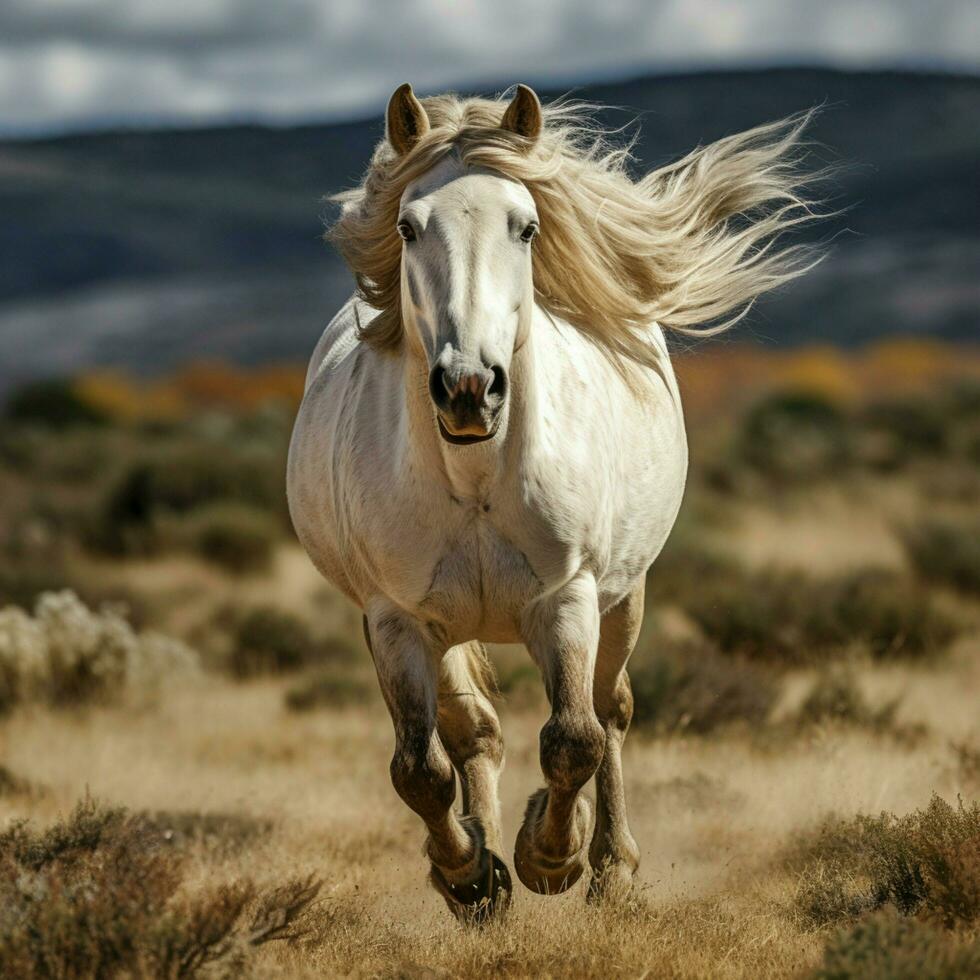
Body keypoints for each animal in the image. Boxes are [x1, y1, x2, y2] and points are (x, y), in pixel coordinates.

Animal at [290, 82, 820, 920]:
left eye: (526, 225)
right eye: (408, 226)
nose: (469, 387)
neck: (475, 478)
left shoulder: (566, 598)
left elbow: (575, 737)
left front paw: (551, 857)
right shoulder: (396, 619)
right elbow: (420, 769)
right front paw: (471, 875)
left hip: (624, 596)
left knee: (611, 711)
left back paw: (611, 869)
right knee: (473, 733)